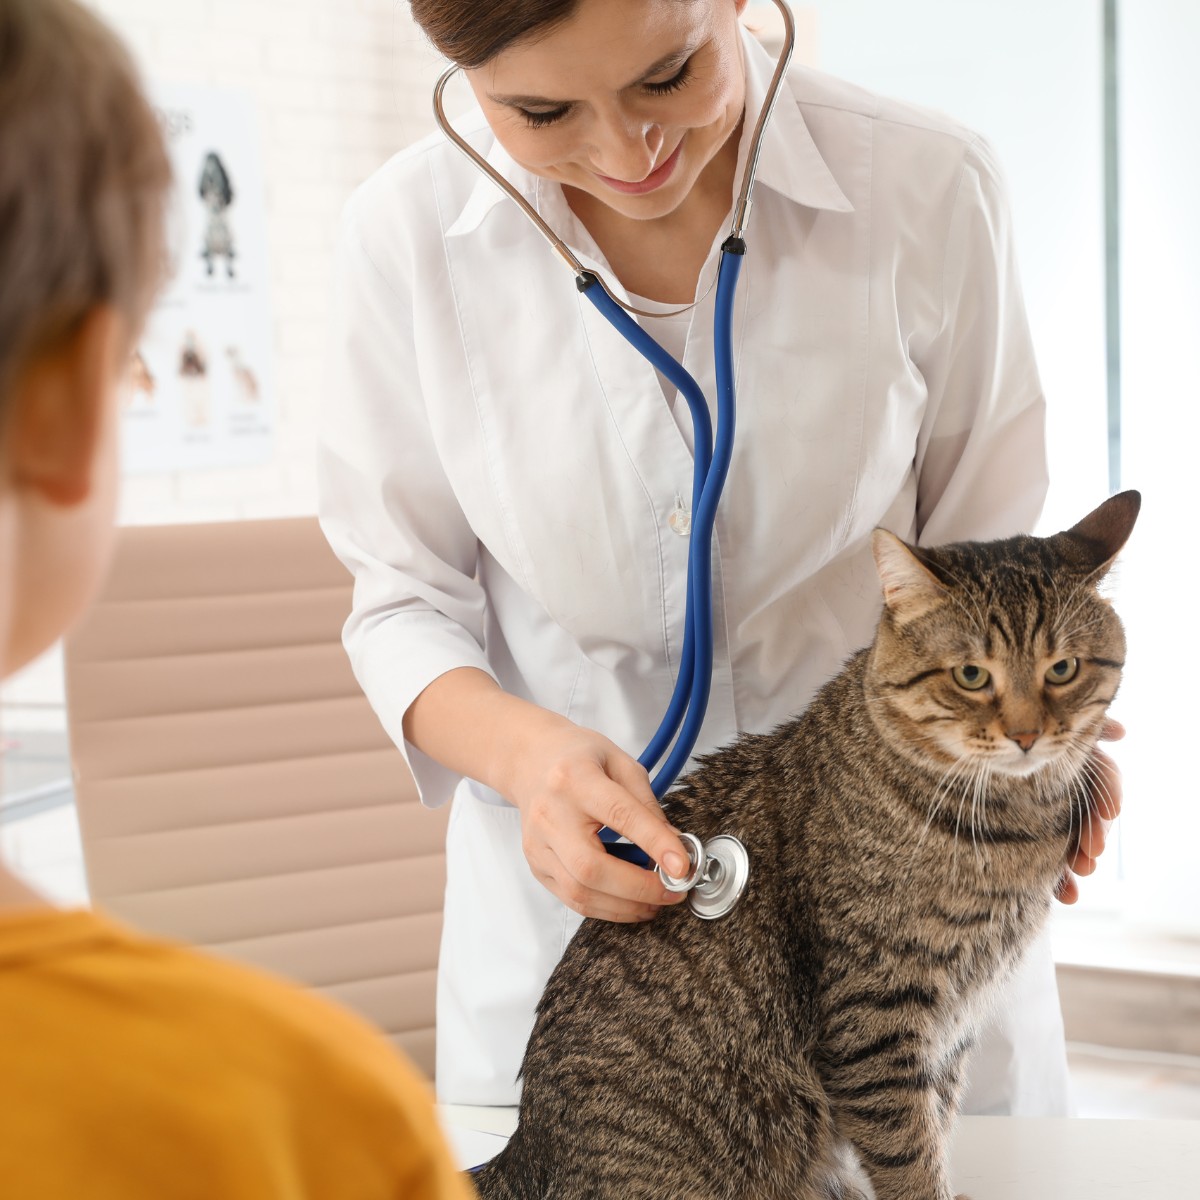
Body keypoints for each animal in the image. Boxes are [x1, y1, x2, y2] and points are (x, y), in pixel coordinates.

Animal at [470, 489, 1142, 1200]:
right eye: (970, 675)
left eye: (1062, 669)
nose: (1026, 734)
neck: (1010, 820)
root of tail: (524, 1146)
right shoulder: (874, 1014)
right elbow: (909, 1154)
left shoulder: (949, 1030)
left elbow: (938, 1123)